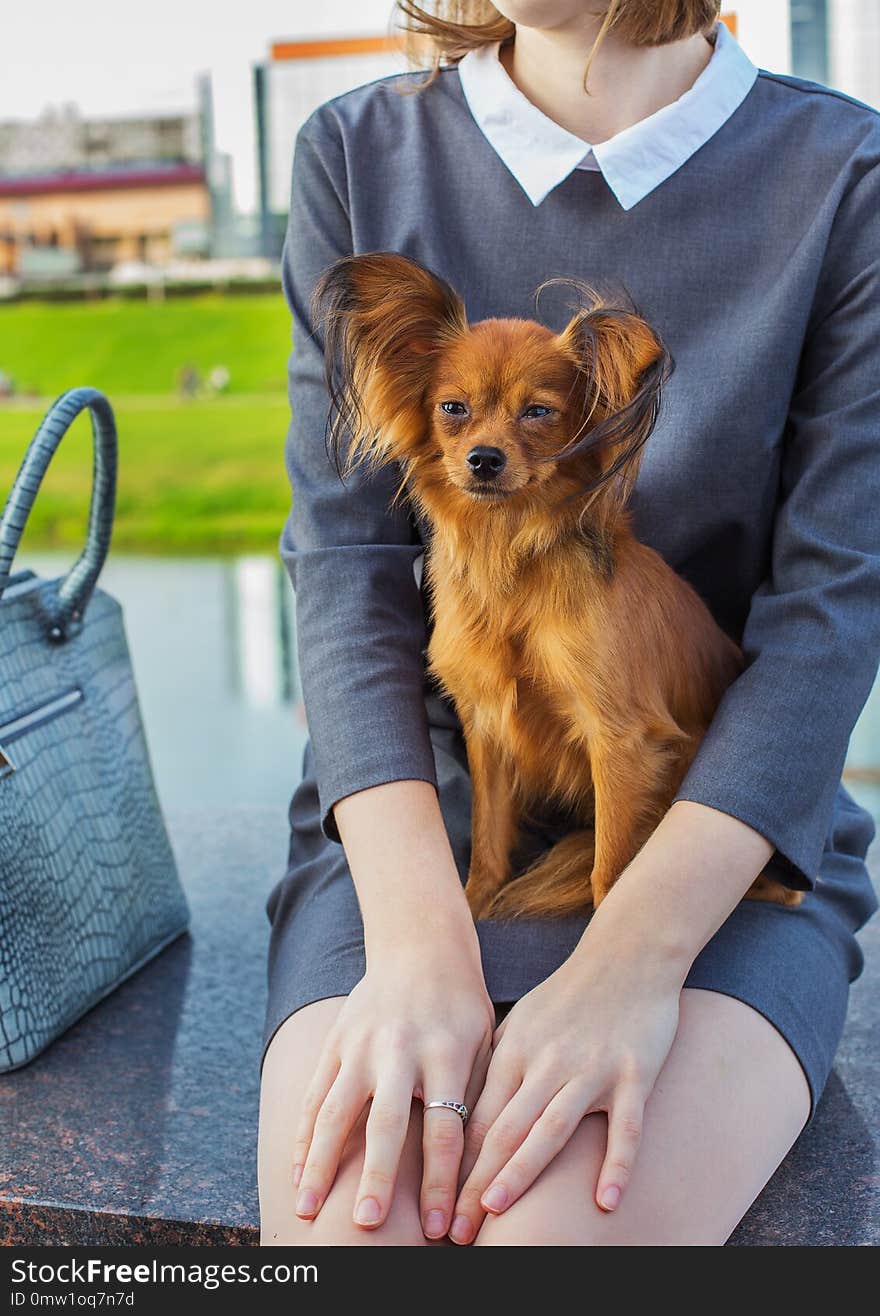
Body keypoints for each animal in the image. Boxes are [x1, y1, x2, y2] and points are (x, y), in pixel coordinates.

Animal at [309, 251, 794, 921]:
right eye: (453, 409)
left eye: (537, 412)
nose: (484, 459)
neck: (509, 552)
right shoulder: (487, 728)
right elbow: (488, 837)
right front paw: (475, 901)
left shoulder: (620, 741)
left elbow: (610, 870)